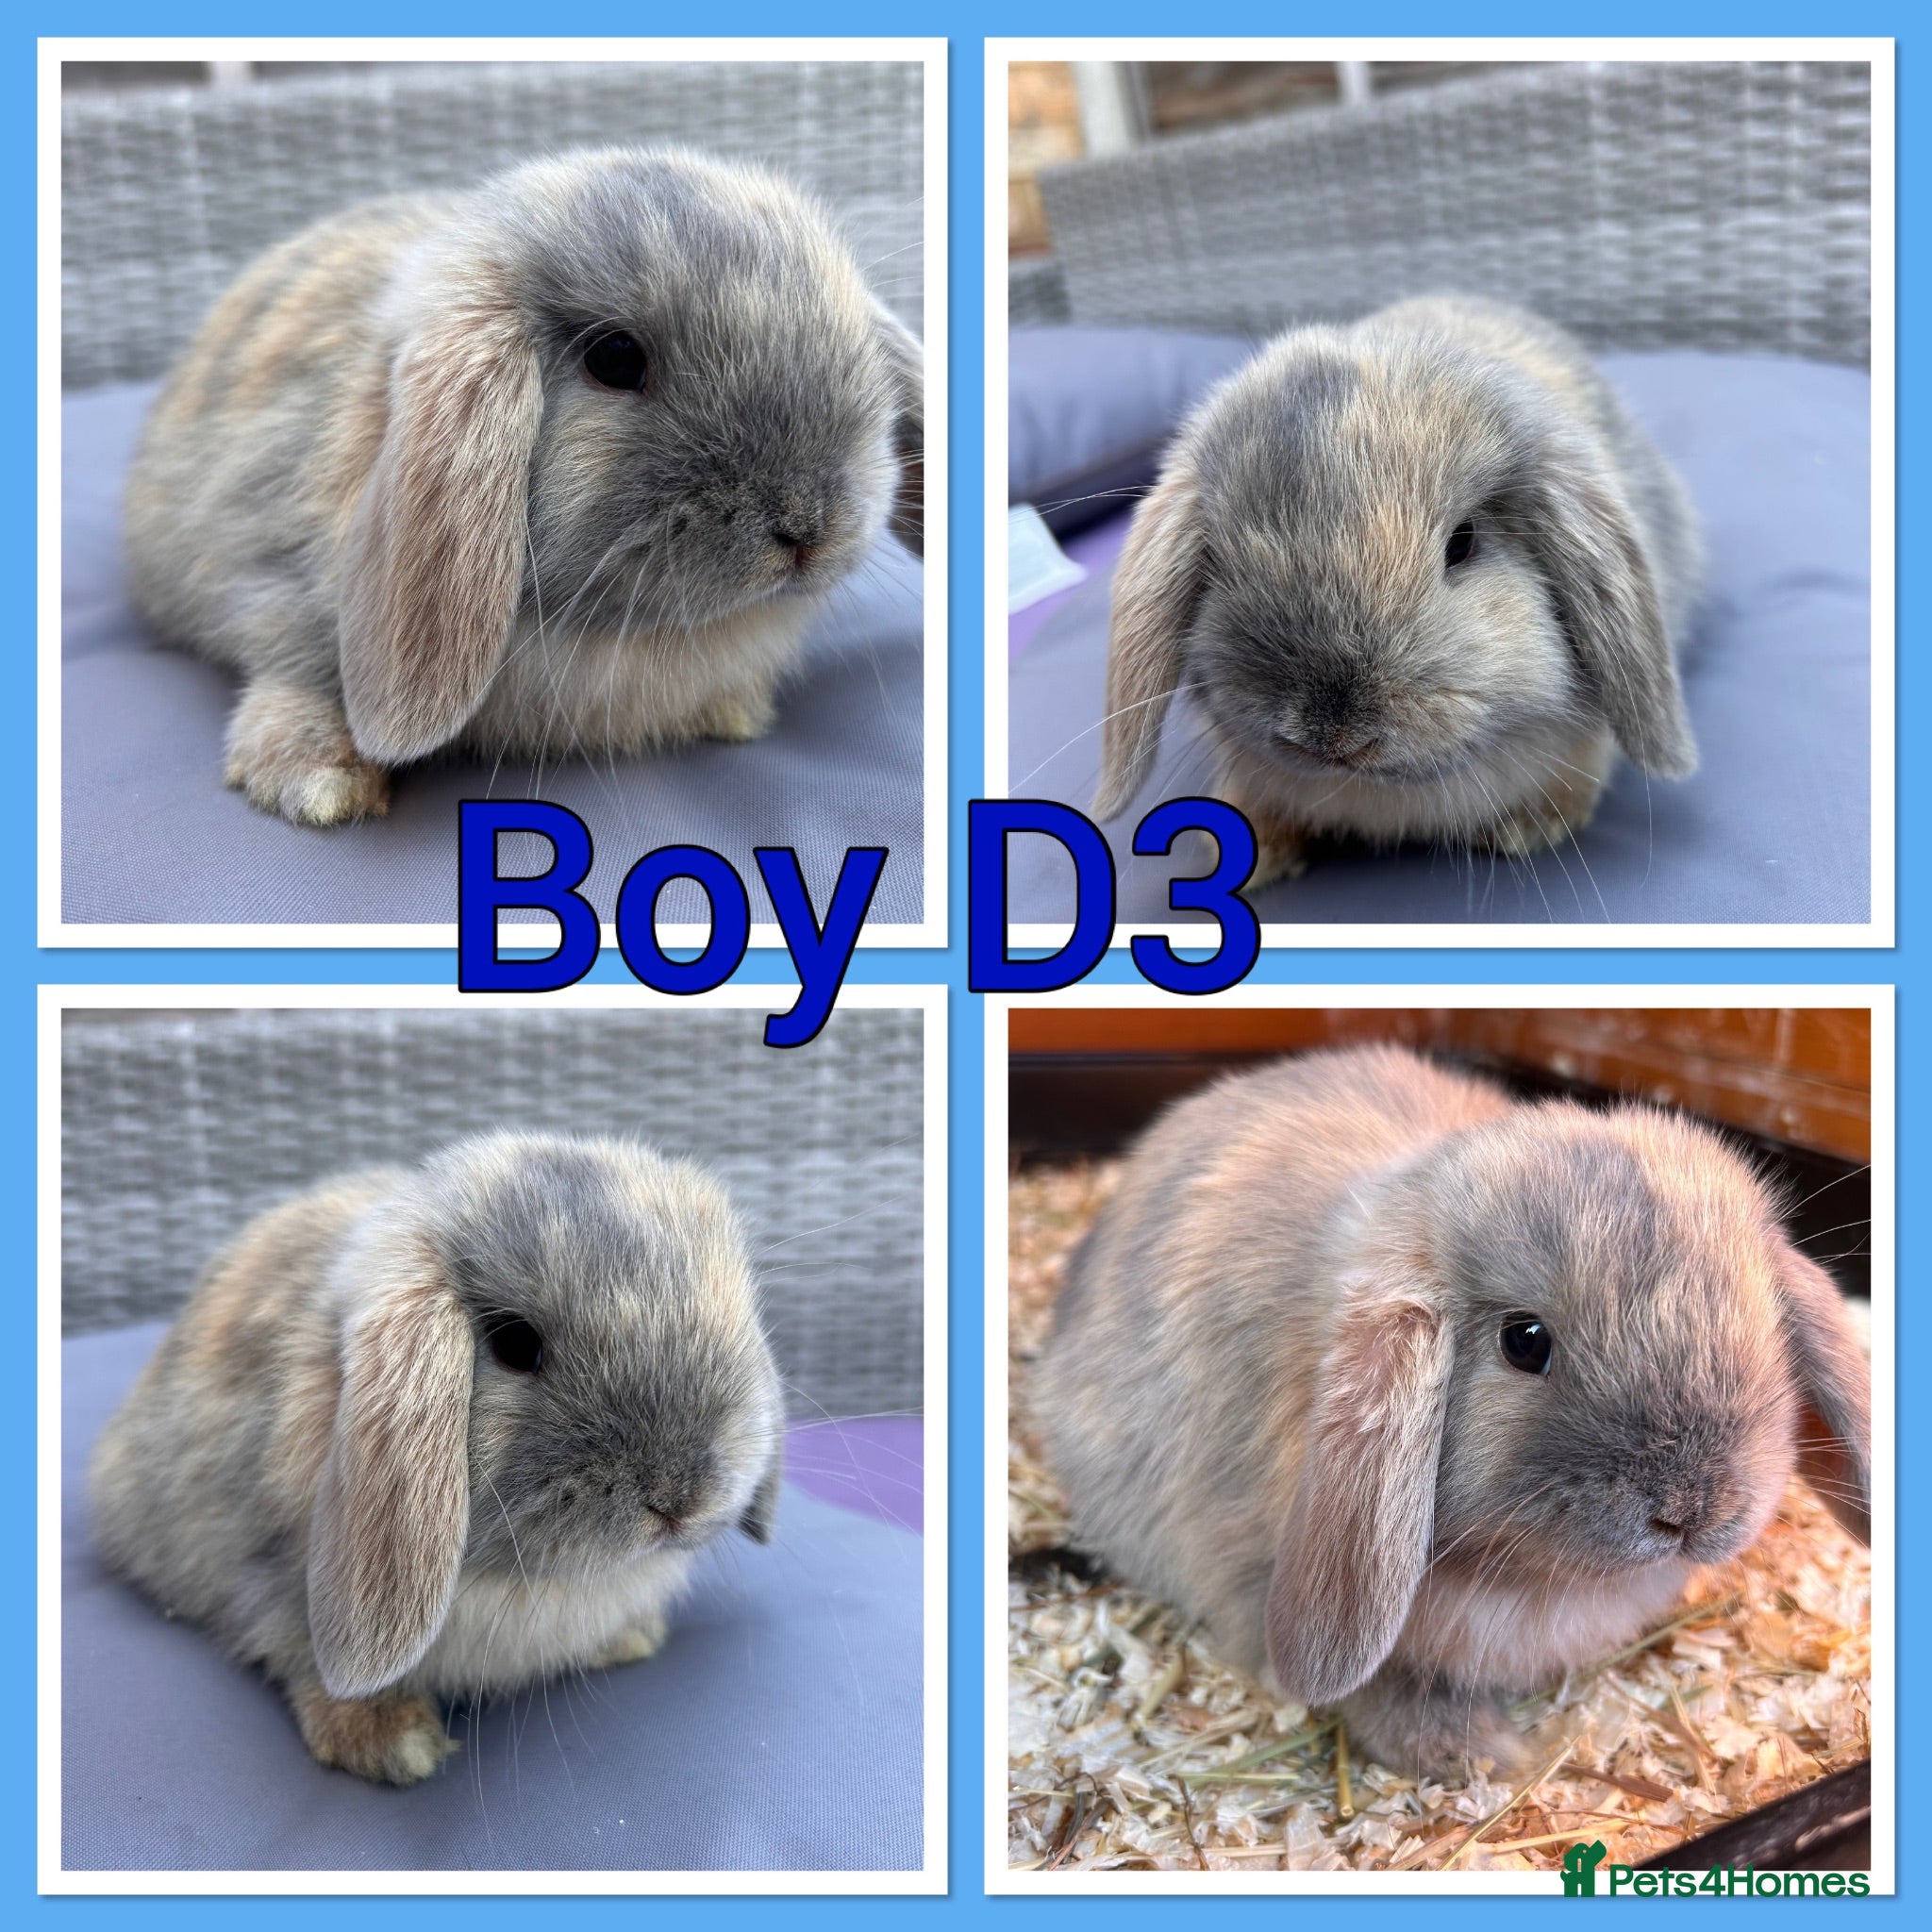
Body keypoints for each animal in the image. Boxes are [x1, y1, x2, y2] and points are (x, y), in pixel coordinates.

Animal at [124, 147, 924, 827]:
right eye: (615, 358)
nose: (807, 528)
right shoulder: (273, 586)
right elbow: (294, 676)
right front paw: (323, 788)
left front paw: (737, 713)